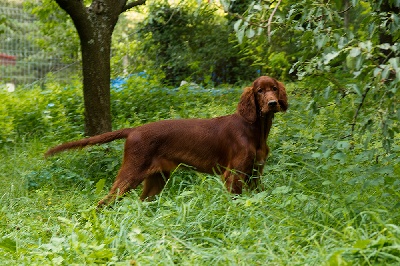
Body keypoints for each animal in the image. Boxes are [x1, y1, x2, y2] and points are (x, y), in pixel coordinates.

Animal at [45, 76, 286, 207]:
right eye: (259, 91)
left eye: (274, 88)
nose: (272, 103)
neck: (255, 129)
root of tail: (134, 130)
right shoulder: (234, 174)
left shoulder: (255, 172)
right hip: (131, 175)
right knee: (104, 201)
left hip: (156, 180)